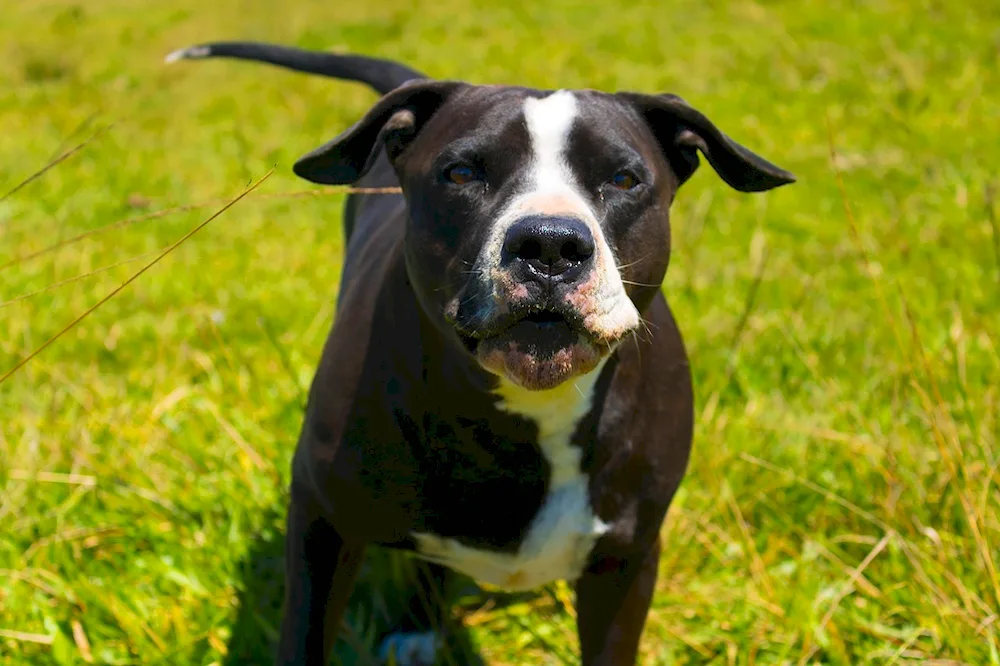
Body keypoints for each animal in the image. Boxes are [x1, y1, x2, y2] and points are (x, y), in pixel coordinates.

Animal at [170, 41, 796, 664]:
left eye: (623, 178)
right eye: (463, 172)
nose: (550, 244)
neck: (526, 416)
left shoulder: (626, 560)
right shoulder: (322, 524)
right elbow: (304, 636)